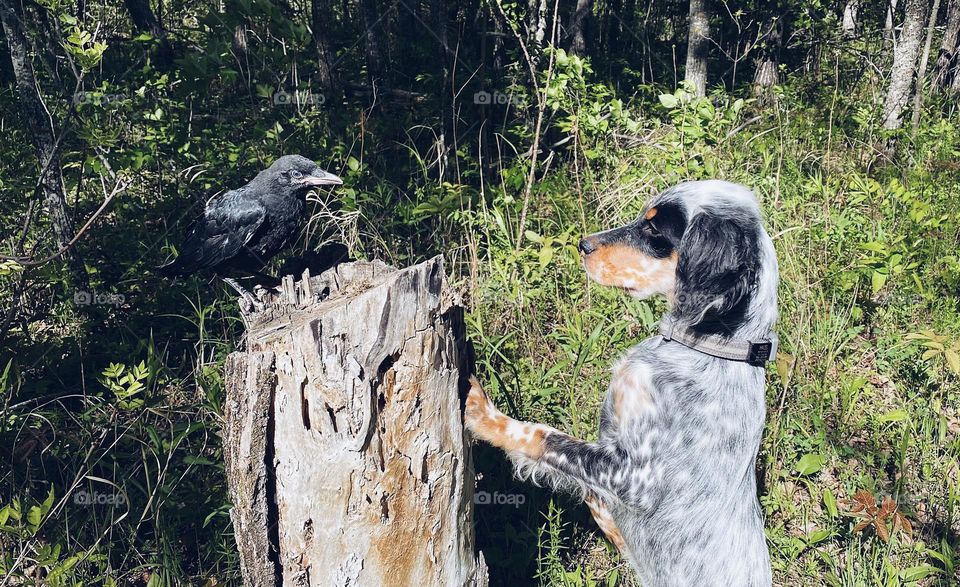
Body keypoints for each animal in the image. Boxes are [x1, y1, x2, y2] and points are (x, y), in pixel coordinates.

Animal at [466, 180, 780, 587]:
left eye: (653, 229)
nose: (583, 244)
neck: (713, 347)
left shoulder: (635, 478)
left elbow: (545, 436)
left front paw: (481, 411)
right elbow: (590, 494)